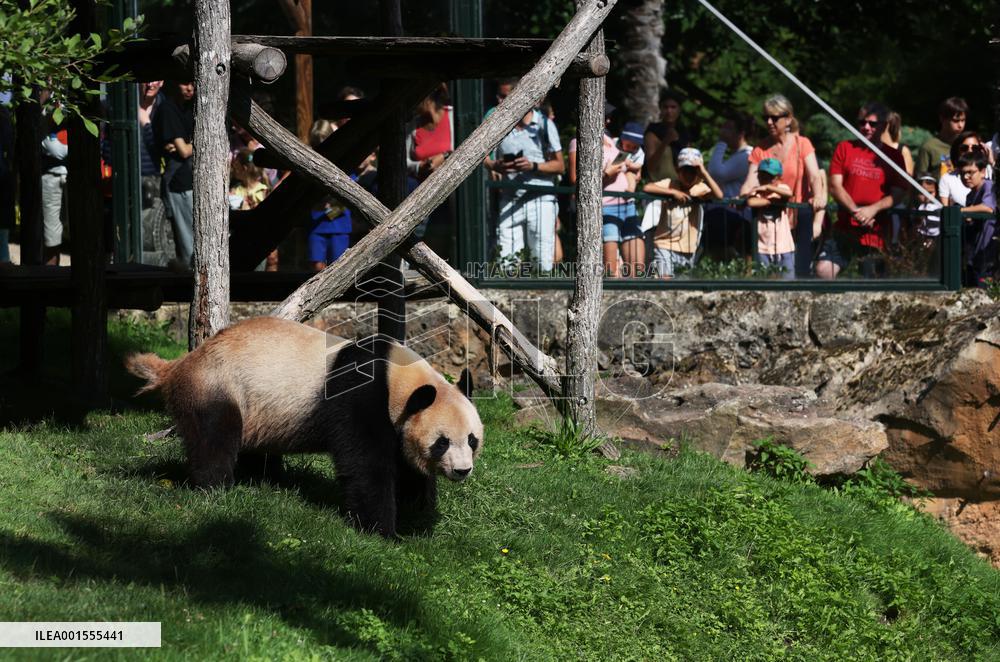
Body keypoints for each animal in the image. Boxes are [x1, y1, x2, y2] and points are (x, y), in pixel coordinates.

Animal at [126, 316, 483, 538]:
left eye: (472, 440)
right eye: (442, 442)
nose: (462, 471)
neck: (398, 379)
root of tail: (180, 364)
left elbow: (405, 461)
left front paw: (418, 510)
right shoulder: (358, 396)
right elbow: (366, 465)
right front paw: (385, 531)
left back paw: (265, 477)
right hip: (217, 385)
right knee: (215, 437)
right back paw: (215, 487)